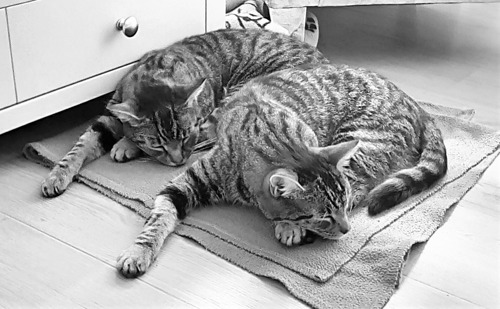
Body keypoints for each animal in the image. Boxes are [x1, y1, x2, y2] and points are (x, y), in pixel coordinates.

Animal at [40, 29, 328, 197]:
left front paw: (125, 144)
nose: (178, 161)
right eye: (158, 144)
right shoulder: (109, 114)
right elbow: (80, 146)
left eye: (186, 135)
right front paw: (56, 176)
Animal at [115, 63, 448, 276]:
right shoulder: (186, 181)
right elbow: (158, 219)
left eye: (339, 209)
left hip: (362, 139)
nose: (346, 230)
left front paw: (289, 225)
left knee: (364, 187)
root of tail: (419, 107)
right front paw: (138, 252)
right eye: (324, 215)